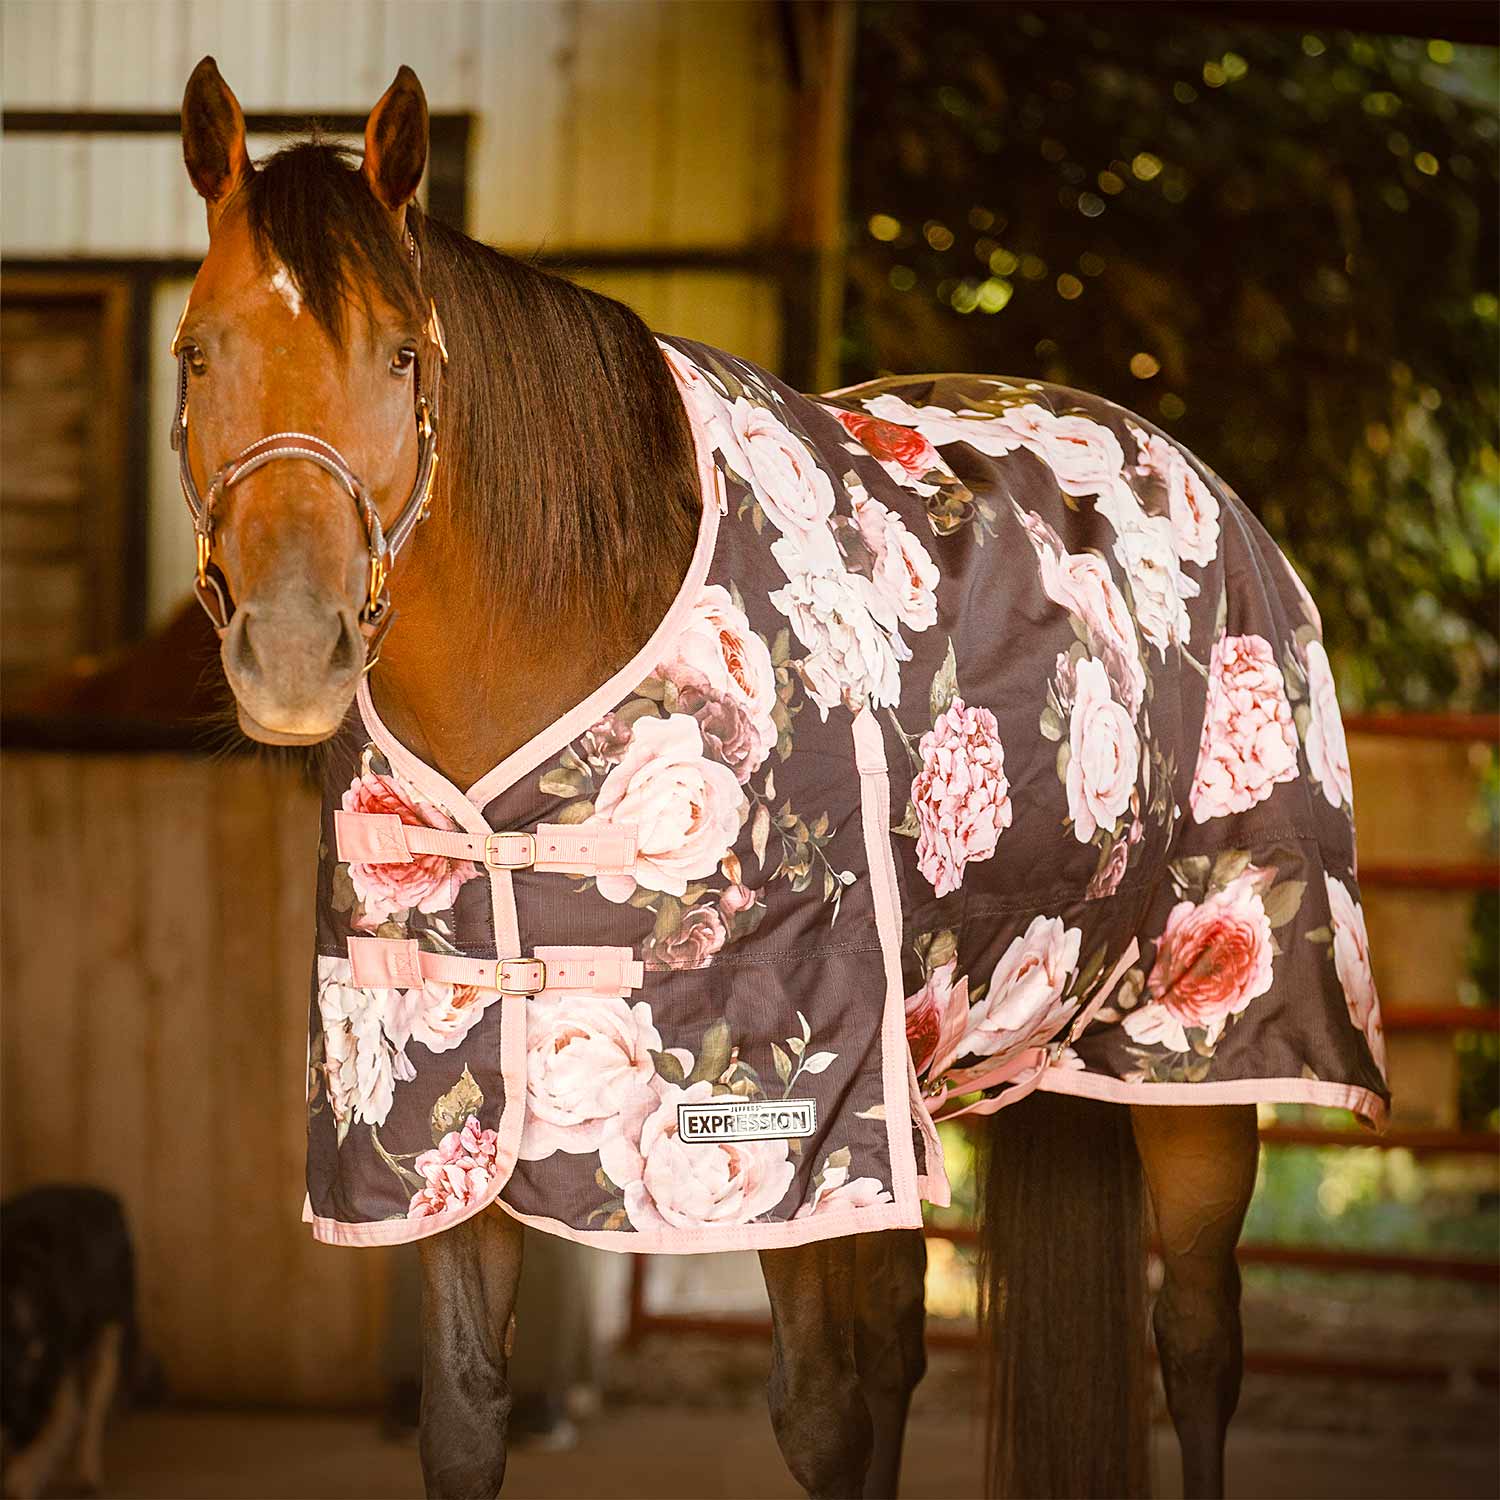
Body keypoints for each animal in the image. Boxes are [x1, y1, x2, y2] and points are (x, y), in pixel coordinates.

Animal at [170, 57, 1386, 1500]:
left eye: (401, 353)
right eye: (196, 352)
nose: (294, 649)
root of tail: (1183, 466)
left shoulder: (787, 1129)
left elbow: (821, 1415)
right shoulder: (438, 1121)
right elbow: (467, 1420)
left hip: (1195, 1061)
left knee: (1195, 1348)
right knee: (910, 1347)